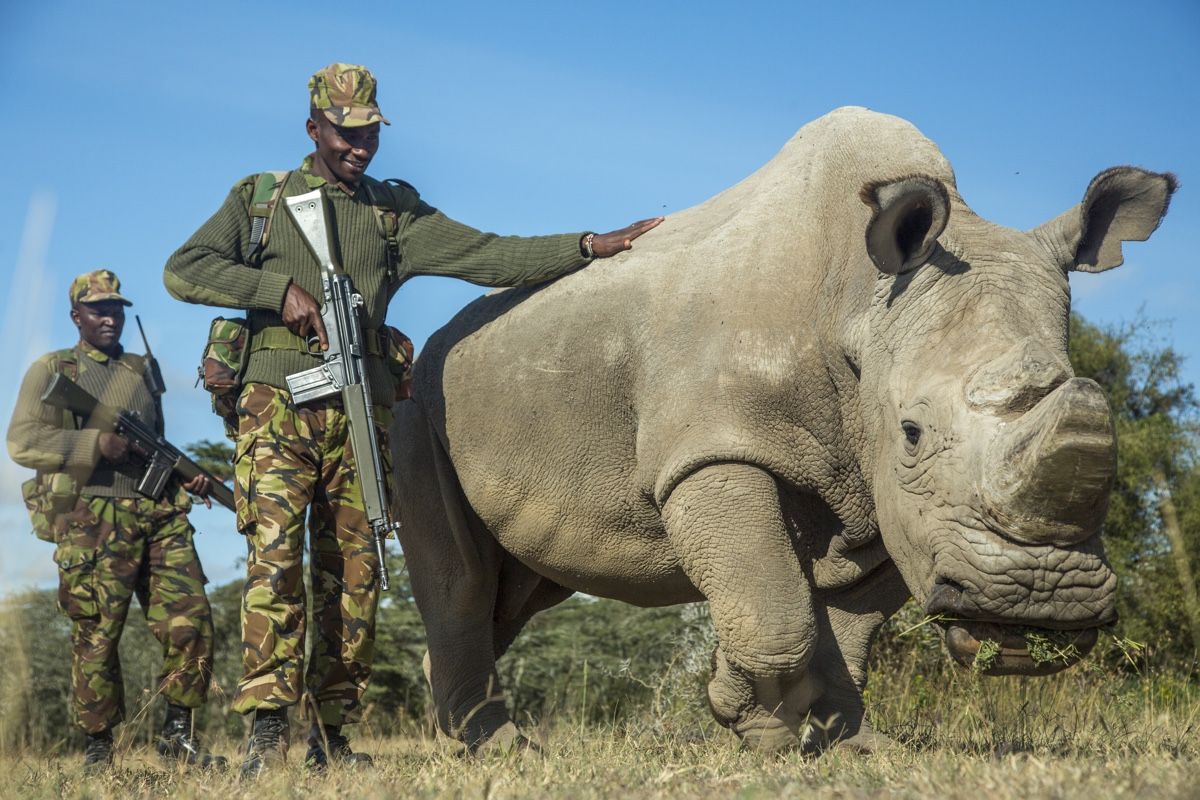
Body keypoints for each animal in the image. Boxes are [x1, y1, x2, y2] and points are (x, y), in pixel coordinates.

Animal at [391, 107, 1171, 758]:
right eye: (913, 433)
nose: (1041, 603)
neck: (858, 301)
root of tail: (438, 341)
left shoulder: (882, 490)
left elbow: (849, 623)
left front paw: (844, 745)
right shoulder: (714, 450)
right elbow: (775, 610)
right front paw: (746, 716)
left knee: (523, 587)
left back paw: (464, 736)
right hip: (418, 401)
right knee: (461, 580)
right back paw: (500, 750)